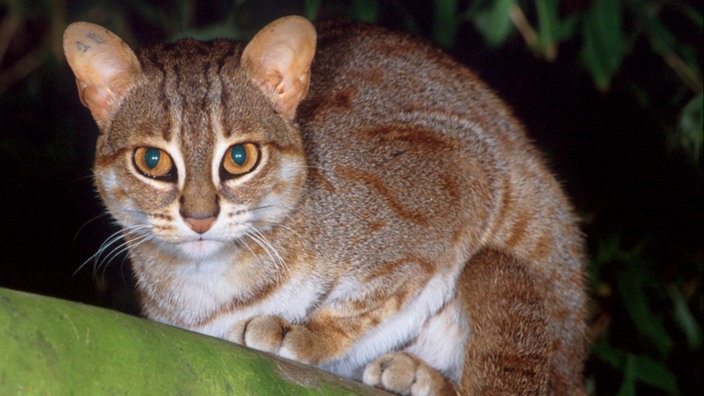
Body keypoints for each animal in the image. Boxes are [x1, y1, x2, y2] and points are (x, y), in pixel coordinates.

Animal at [63, 16, 584, 396]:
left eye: (239, 158)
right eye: (151, 161)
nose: (199, 218)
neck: (207, 282)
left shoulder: (463, 169)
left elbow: (372, 299)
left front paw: (307, 334)